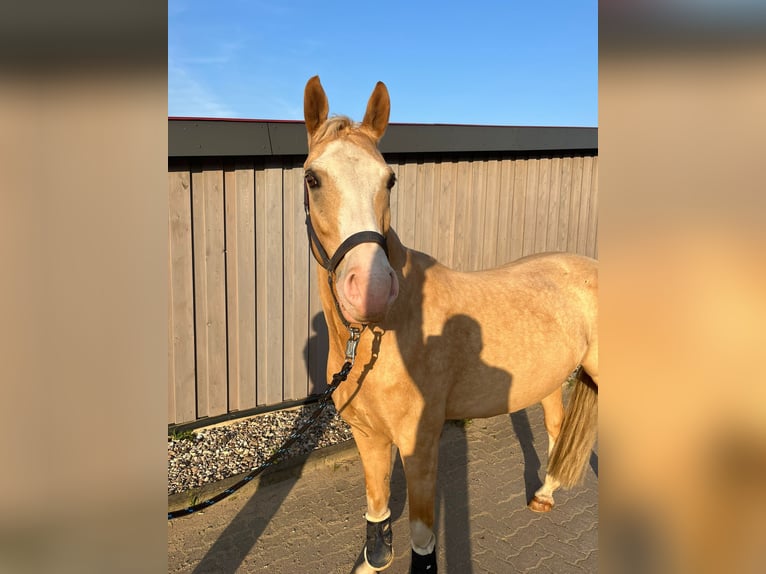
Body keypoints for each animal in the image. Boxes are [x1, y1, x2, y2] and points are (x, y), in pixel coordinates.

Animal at [304, 74, 600, 572]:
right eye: (312, 178)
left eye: (389, 179)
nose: (371, 289)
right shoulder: (368, 437)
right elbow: (377, 514)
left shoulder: (420, 444)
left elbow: (423, 536)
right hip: (548, 380)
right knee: (558, 430)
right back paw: (543, 496)